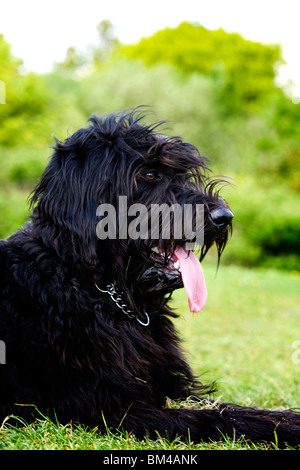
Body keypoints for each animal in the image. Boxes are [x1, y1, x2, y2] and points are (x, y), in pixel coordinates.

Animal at [0, 108, 300, 446]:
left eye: (184, 173)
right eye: (149, 174)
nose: (224, 217)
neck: (94, 287)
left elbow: (234, 408)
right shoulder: (107, 408)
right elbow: (214, 418)